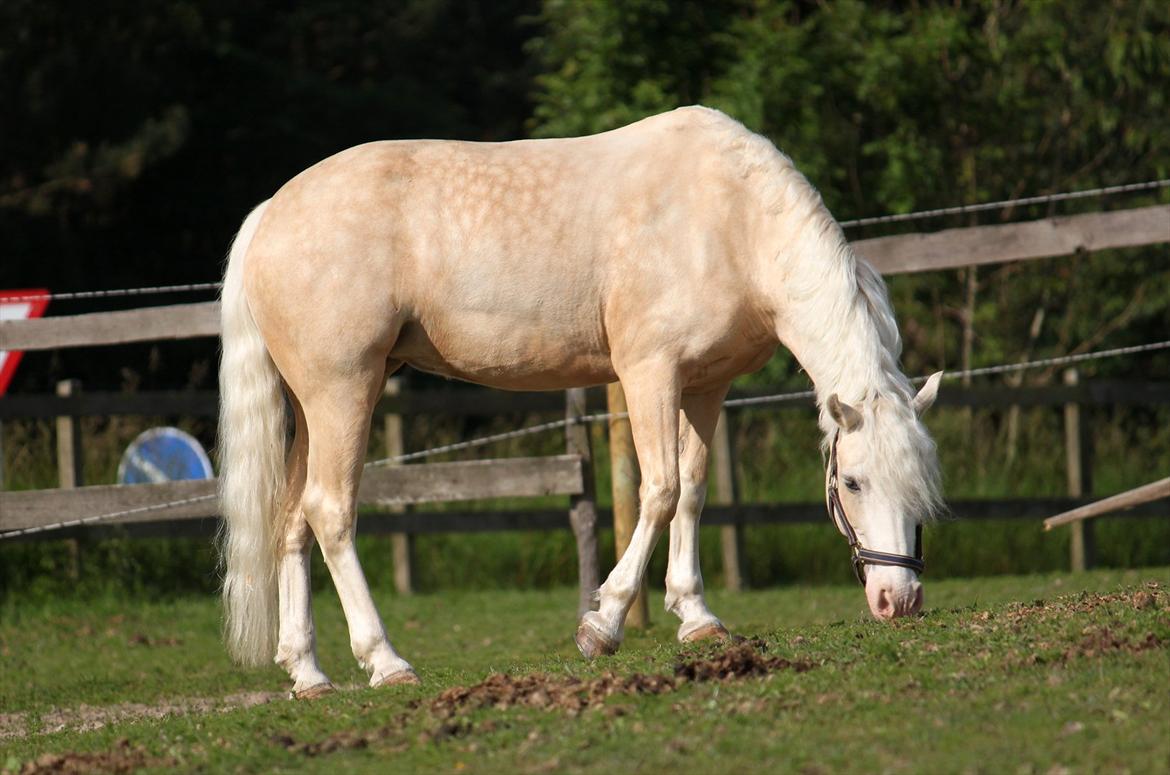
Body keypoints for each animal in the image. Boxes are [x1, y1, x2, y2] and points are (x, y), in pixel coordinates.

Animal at [219, 104, 945, 697]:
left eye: (923, 486)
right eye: (852, 482)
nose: (899, 599)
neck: (729, 220)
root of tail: (270, 211)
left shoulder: (705, 386)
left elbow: (695, 490)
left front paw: (697, 618)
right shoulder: (650, 373)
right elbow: (660, 489)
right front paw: (604, 622)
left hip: (311, 405)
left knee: (292, 519)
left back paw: (308, 672)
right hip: (344, 389)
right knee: (330, 512)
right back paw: (386, 661)